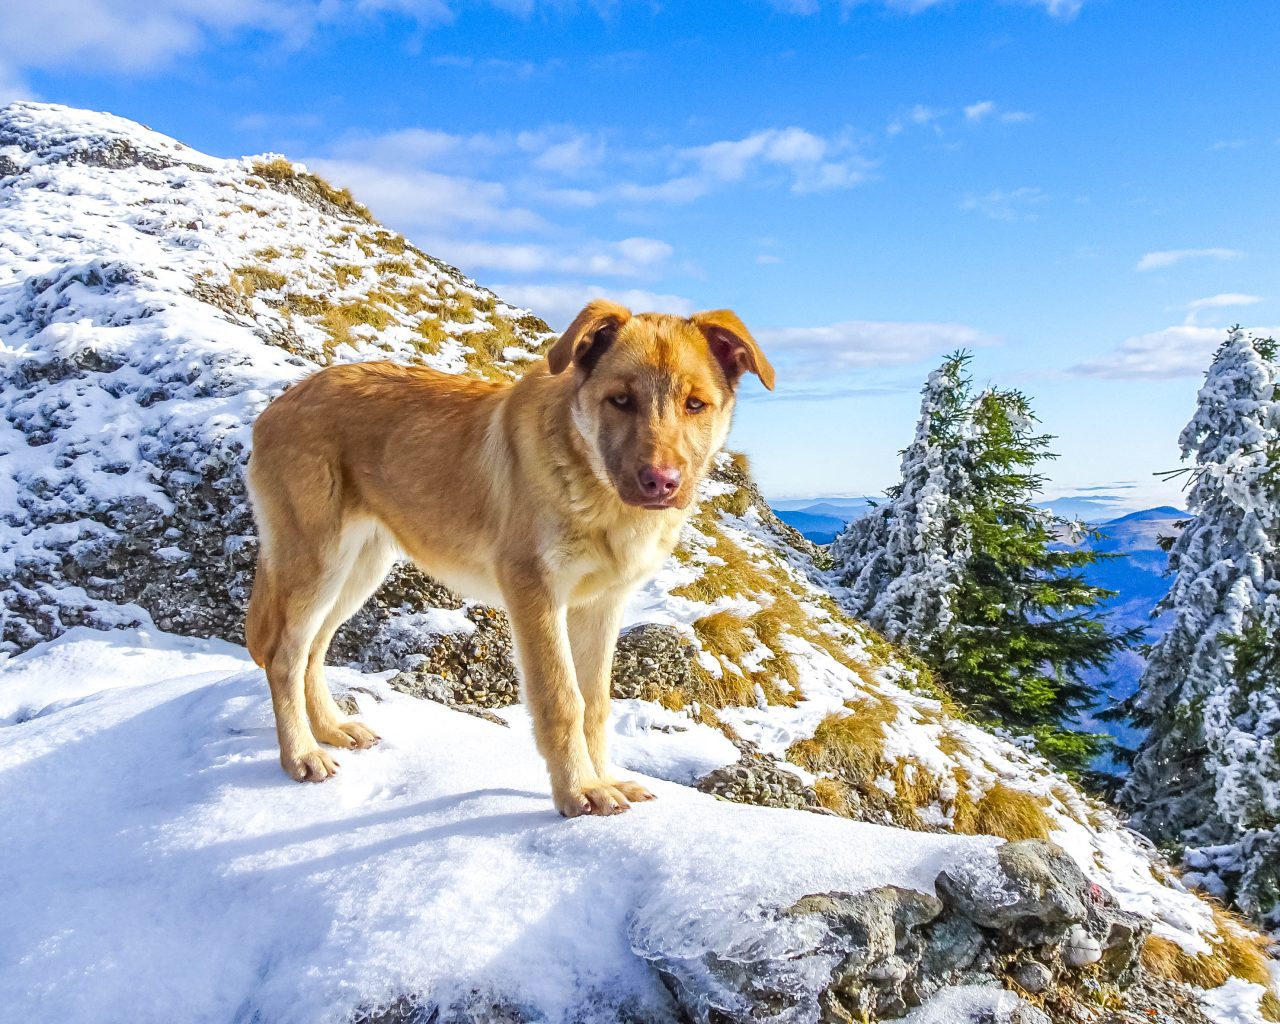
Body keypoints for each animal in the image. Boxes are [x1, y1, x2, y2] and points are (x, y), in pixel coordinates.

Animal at [244, 299, 773, 819]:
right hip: (316, 561)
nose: (661, 483)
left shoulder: (601, 606)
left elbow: (595, 704)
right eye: (621, 400)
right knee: (284, 657)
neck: (595, 490)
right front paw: (580, 790)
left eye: (695, 404)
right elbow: (562, 699)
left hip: (360, 567)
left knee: (313, 649)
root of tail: (277, 406)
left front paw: (605, 778)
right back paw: (301, 755)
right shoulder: (535, 593)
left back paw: (331, 729)